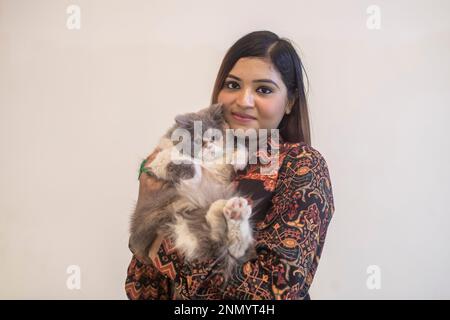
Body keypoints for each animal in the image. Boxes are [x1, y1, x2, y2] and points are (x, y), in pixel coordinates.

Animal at [128, 102, 258, 284]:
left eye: (213, 137)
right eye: (197, 141)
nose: (208, 146)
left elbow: (239, 148)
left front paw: (238, 161)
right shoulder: (157, 162)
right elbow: (178, 161)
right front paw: (194, 169)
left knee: (230, 246)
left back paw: (235, 210)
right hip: (180, 227)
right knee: (222, 242)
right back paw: (233, 210)